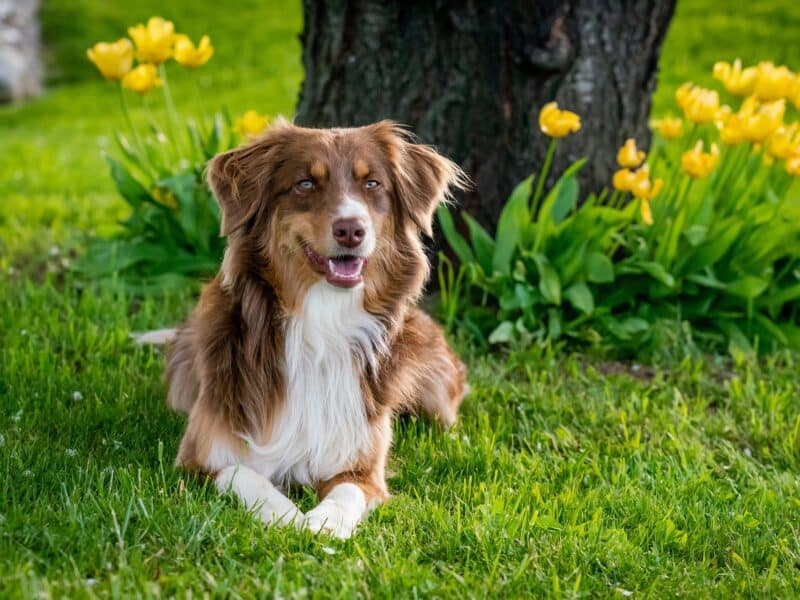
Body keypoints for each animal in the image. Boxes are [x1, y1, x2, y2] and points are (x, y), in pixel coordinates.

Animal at [162, 119, 468, 536]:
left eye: (372, 183)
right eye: (305, 183)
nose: (351, 230)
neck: (321, 321)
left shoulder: (362, 466)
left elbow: (346, 493)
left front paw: (324, 523)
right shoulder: (199, 457)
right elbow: (244, 475)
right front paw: (286, 515)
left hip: (436, 393)